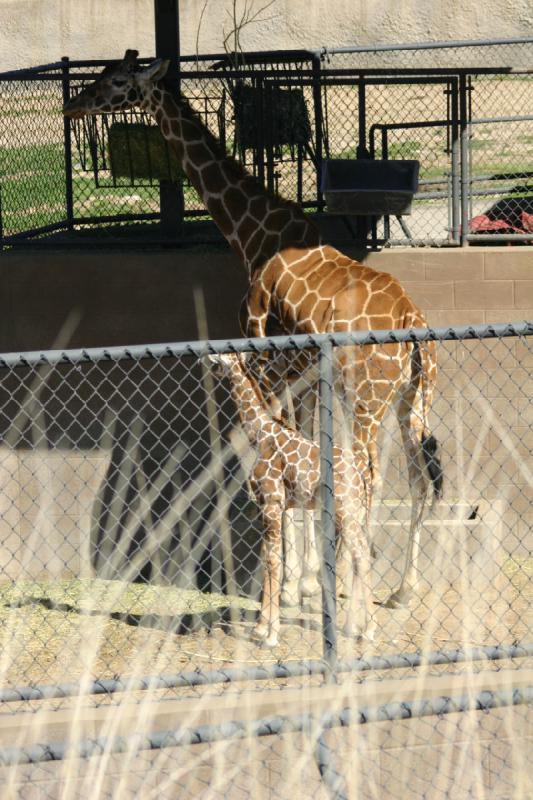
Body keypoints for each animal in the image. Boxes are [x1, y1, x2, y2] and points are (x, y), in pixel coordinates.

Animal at [64, 51, 440, 608]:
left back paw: (360, 585)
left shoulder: (264, 360)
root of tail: (415, 325)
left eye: (115, 81)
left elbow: (282, 448)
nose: (72, 104)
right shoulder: (302, 380)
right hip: (411, 398)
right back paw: (402, 590)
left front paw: (292, 586)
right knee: (418, 478)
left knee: (372, 475)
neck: (249, 232)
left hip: (367, 396)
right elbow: (307, 449)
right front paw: (309, 579)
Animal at [208, 354, 374, 648]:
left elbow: (273, 561)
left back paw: (368, 631)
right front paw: (261, 628)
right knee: (360, 555)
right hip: (354, 511)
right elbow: (268, 559)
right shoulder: (271, 506)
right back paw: (352, 627)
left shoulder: (271, 502)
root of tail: (363, 473)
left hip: (346, 509)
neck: (259, 434)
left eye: (221, 358)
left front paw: (270, 634)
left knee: (361, 555)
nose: (208, 362)